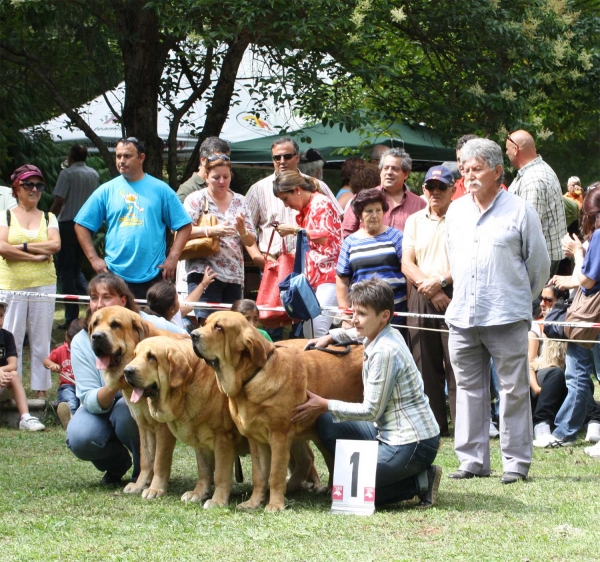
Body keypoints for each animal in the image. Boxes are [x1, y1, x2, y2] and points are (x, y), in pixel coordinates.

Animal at [88, 304, 188, 496]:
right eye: (95, 324)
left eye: (115, 325)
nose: (96, 336)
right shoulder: (144, 425)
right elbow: (146, 460)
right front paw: (140, 484)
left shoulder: (163, 428)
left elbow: (159, 461)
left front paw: (155, 488)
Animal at [192, 308, 364, 510]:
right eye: (204, 324)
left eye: (219, 327)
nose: (193, 335)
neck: (249, 378)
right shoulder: (256, 439)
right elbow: (259, 475)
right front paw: (253, 503)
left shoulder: (279, 436)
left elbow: (275, 473)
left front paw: (274, 505)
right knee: (329, 459)